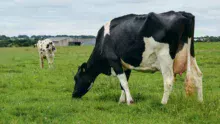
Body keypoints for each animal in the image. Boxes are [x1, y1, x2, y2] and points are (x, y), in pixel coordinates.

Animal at [72, 11, 203, 105]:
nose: (73, 95)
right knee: (198, 75)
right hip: (190, 53)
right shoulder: (125, 65)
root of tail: (183, 13)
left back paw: (163, 103)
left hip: (165, 56)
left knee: (168, 80)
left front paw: (129, 101)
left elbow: (124, 82)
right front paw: (121, 100)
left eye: (76, 78)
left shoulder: (114, 60)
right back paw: (200, 101)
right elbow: (123, 84)